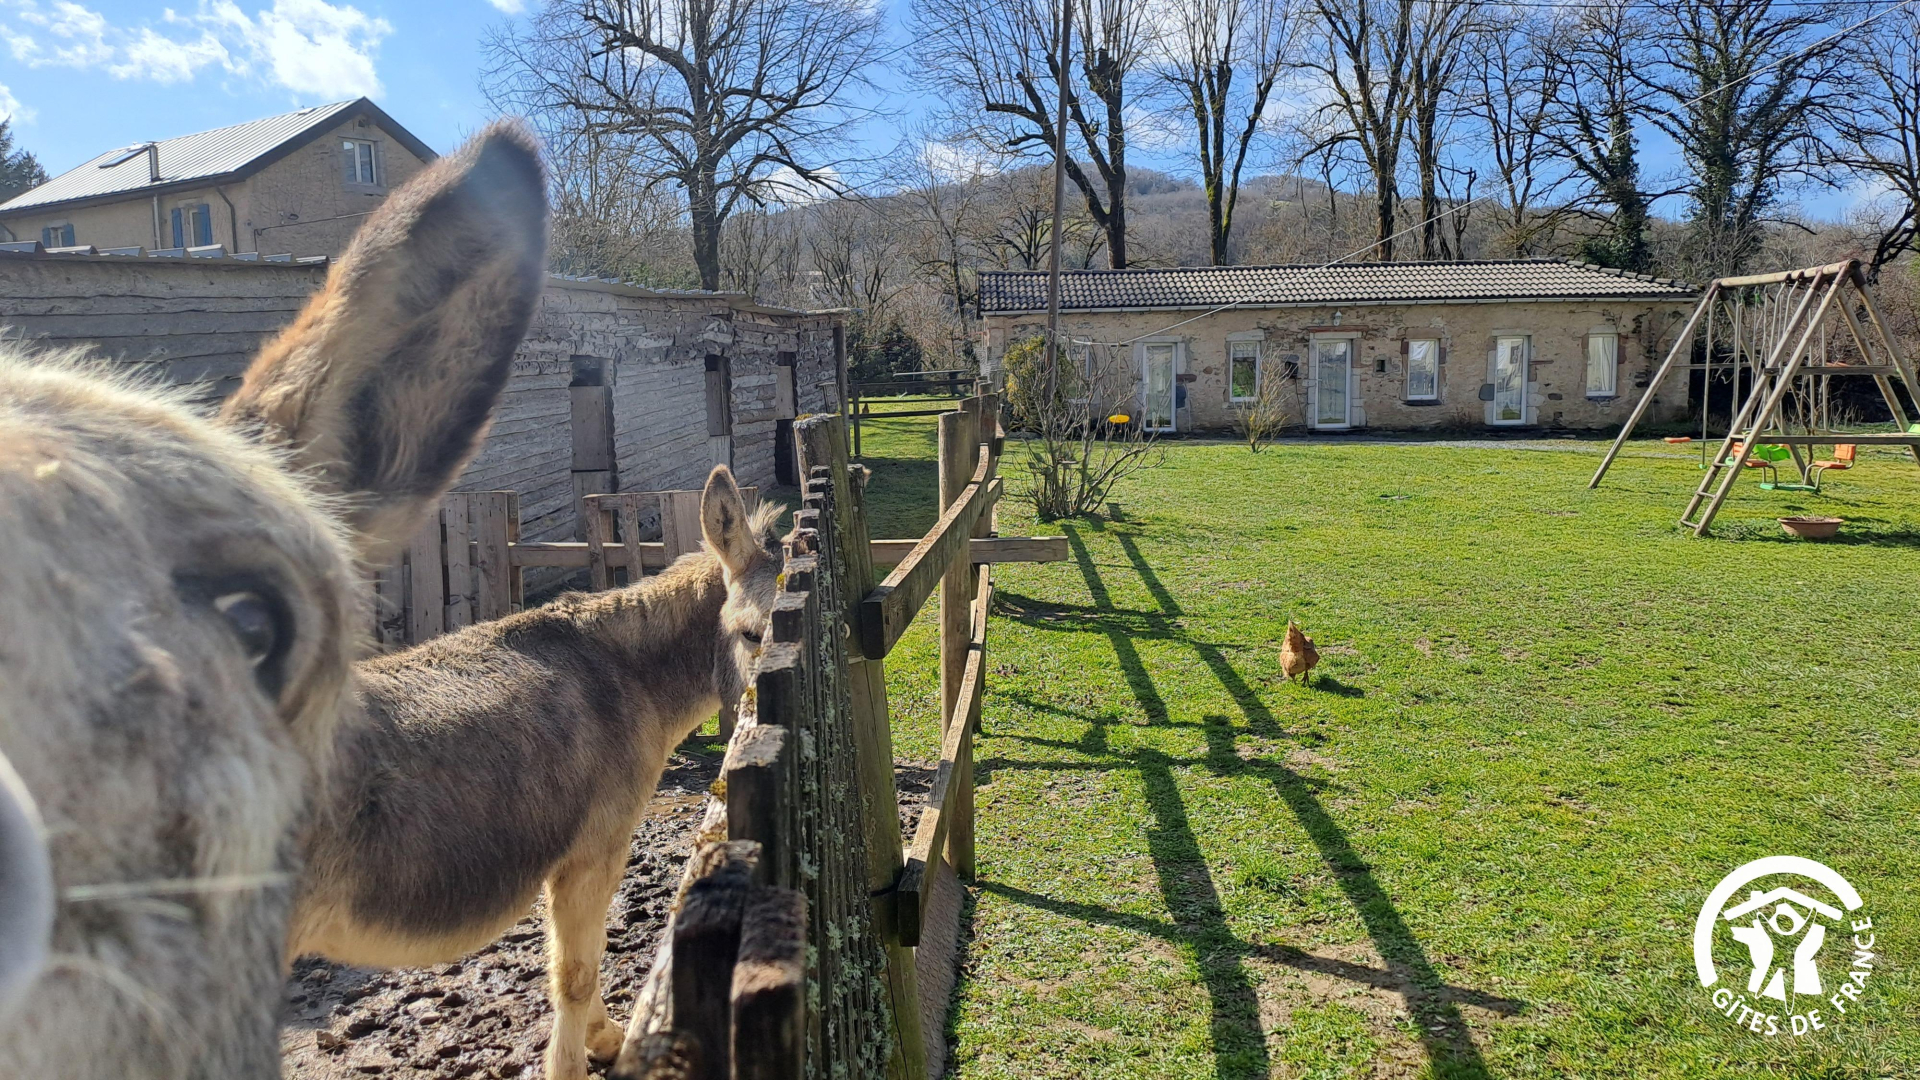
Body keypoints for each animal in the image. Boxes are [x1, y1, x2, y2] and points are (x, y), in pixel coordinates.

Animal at [289, 466, 786, 1080]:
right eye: (749, 634)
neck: (629, 678)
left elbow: (577, 957)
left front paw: (604, 1038)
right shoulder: (595, 848)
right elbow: (576, 971)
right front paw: (573, 1062)